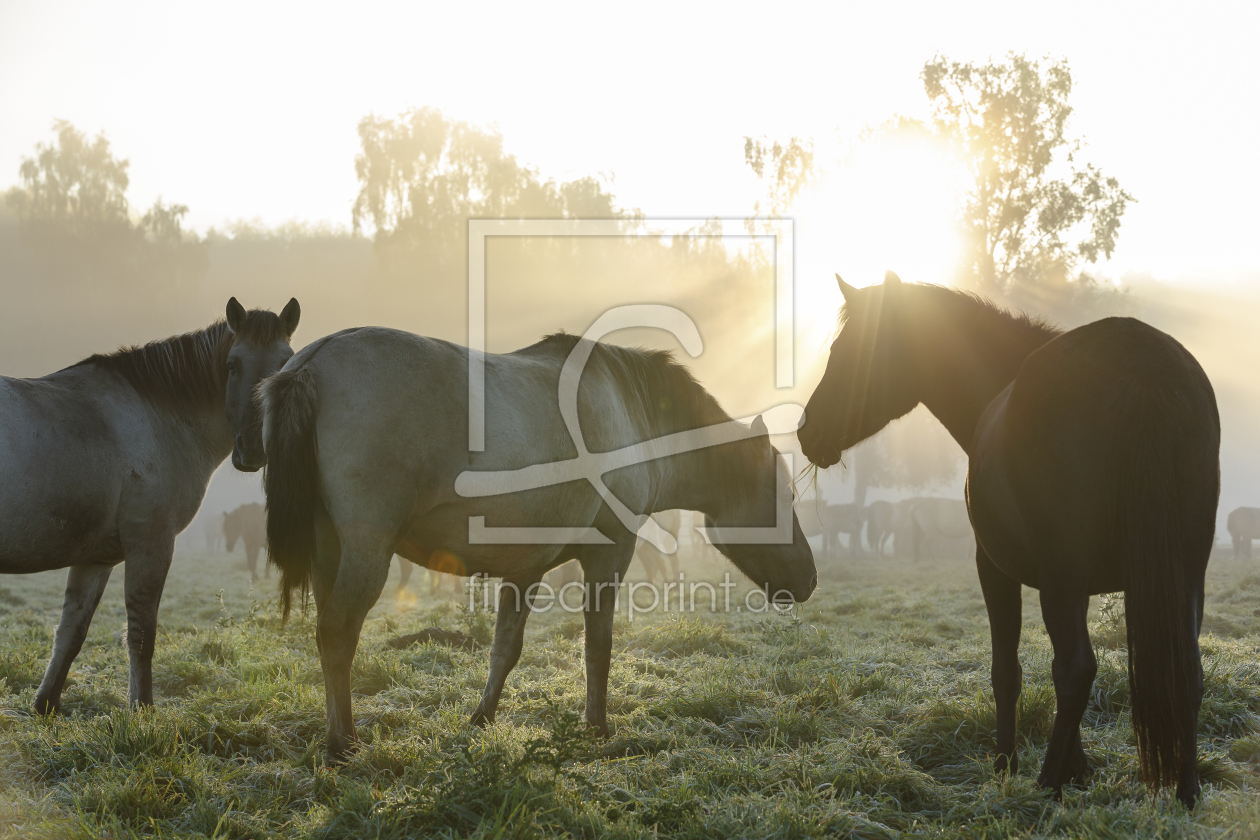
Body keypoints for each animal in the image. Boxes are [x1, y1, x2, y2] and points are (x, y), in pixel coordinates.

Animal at [0, 298, 299, 715]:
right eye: (232, 365)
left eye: (285, 365)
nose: (254, 450)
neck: (157, 414)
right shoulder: (151, 543)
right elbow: (142, 633)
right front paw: (142, 709)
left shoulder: (96, 558)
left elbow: (72, 632)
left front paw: (47, 705)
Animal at [796, 270, 1219, 805]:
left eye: (852, 350)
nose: (807, 432)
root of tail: (1140, 364)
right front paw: (1079, 769)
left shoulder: (997, 569)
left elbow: (1008, 671)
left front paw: (1007, 766)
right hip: (1184, 575)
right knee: (1187, 672)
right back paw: (1186, 794)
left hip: (1067, 577)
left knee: (1076, 669)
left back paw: (1044, 786)